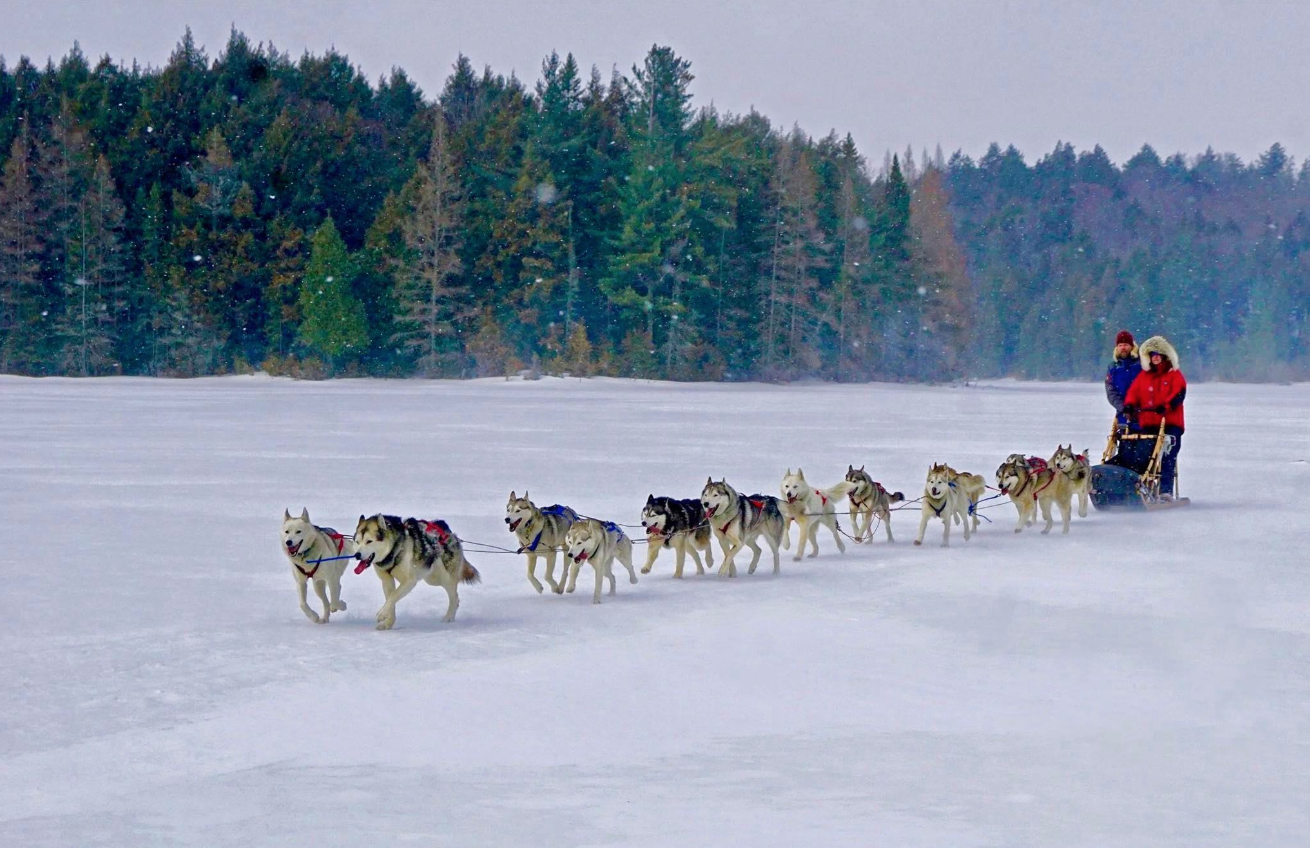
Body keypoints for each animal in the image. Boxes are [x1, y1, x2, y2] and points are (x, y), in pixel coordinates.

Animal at [353, 513, 482, 626]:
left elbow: (394, 596)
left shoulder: (409, 581)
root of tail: (447, 530)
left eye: (369, 541)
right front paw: (388, 623)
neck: (393, 551)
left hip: (444, 578)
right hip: (431, 578)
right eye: (357, 542)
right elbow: (391, 599)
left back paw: (449, 617)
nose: (357, 555)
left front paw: (382, 614)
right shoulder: (387, 581)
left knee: (454, 597)